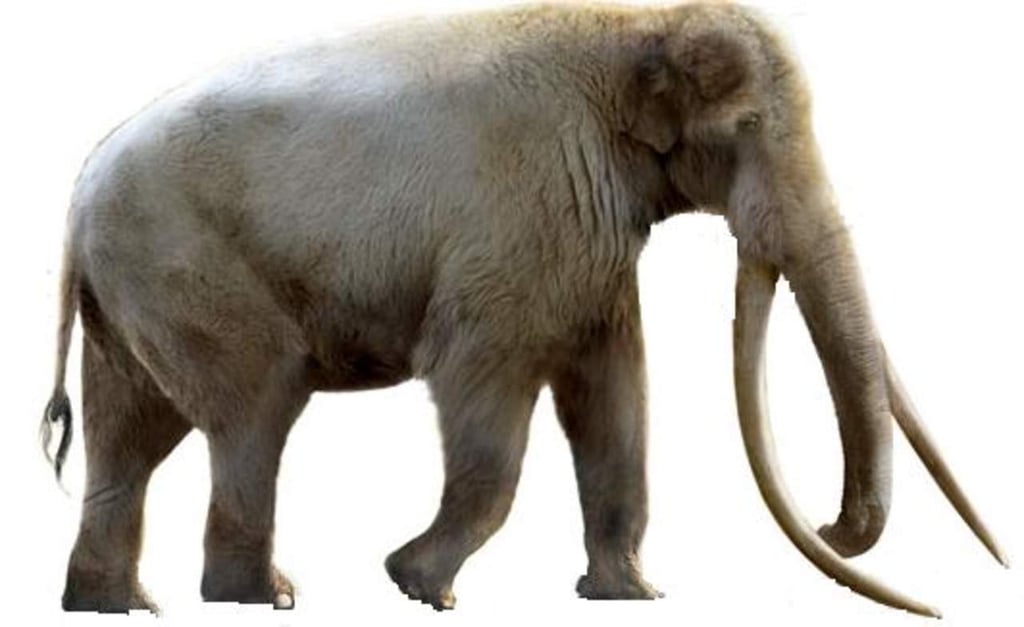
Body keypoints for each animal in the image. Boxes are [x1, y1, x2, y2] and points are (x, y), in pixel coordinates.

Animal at [39, 0, 1004, 617]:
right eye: (745, 131)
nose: (835, 524)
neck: (630, 27)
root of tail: (77, 201)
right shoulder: (517, 221)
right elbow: (485, 378)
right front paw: (418, 586)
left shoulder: (586, 237)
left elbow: (614, 390)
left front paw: (632, 595)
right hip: (190, 270)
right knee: (256, 406)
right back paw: (263, 596)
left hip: (136, 296)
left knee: (131, 434)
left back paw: (119, 604)